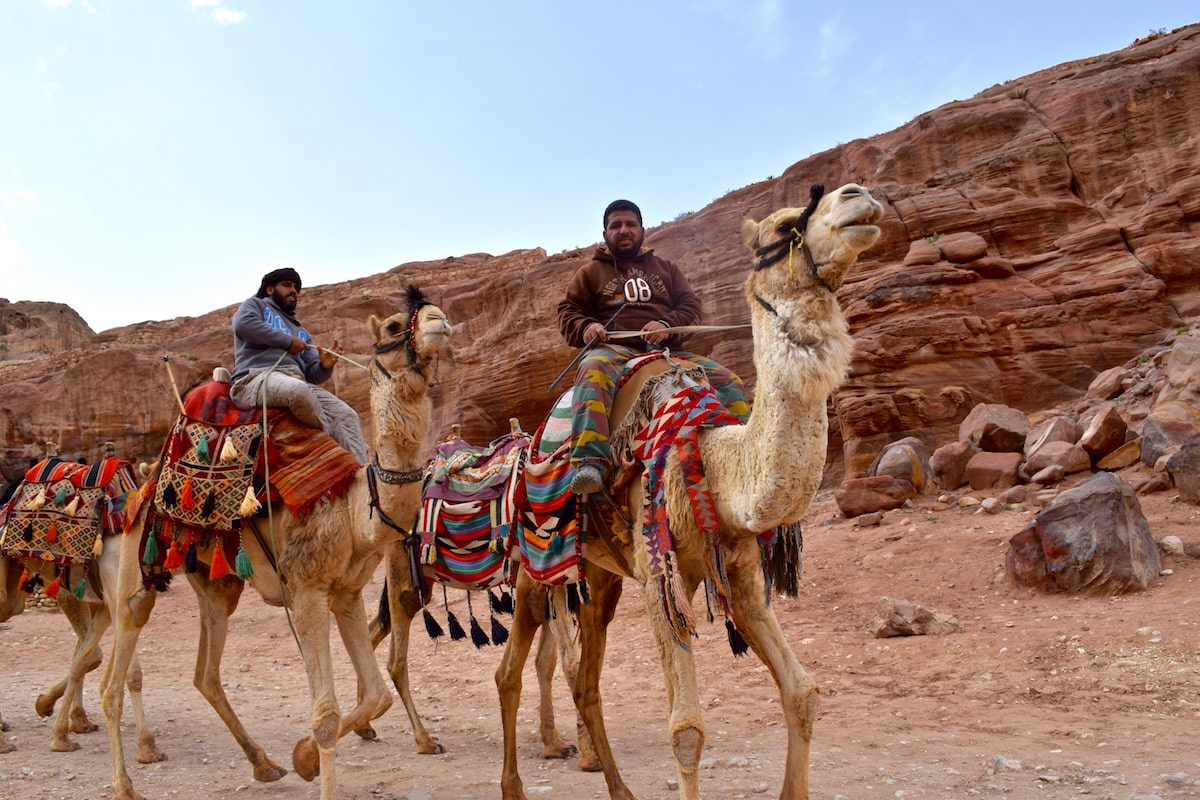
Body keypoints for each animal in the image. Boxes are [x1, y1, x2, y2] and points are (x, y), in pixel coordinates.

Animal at [98, 291, 451, 800]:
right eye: (391, 325)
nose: (439, 321)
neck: (355, 509)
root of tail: (140, 484)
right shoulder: (304, 588)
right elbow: (327, 717)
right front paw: (314, 762)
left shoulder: (345, 592)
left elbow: (376, 695)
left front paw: (302, 759)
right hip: (137, 557)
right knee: (118, 663)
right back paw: (124, 784)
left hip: (216, 582)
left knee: (206, 673)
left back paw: (264, 764)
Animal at [494, 183, 883, 800]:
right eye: (782, 228)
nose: (858, 196)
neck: (713, 460)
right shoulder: (660, 573)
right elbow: (687, 731)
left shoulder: (742, 572)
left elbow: (802, 693)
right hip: (535, 567)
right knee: (509, 672)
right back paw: (514, 787)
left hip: (600, 577)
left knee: (585, 679)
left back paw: (620, 791)